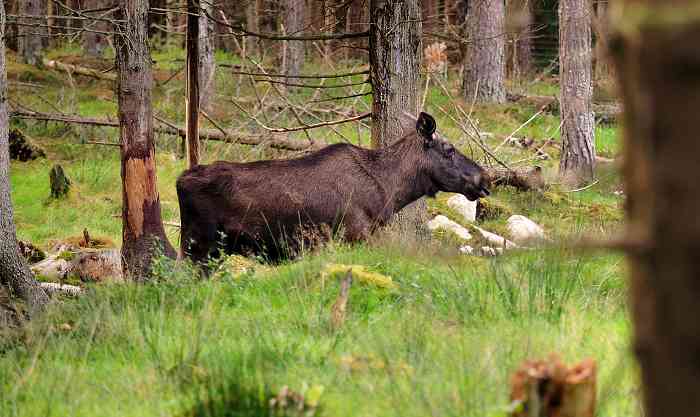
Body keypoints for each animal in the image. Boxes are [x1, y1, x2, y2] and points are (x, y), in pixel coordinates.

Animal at [178, 111, 490, 264]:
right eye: (449, 149)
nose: (484, 179)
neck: (390, 191)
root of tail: (180, 180)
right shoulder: (355, 236)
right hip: (199, 247)